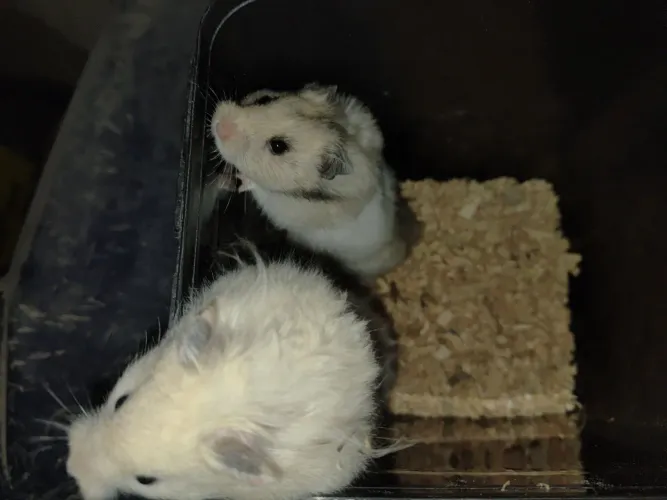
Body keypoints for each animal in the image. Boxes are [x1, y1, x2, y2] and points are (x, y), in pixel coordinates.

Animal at [209, 83, 421, 279]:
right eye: (265, 99)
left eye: (278, 146)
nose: (218, 124)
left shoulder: (281, 204)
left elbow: (258, 187)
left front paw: (232, 180)